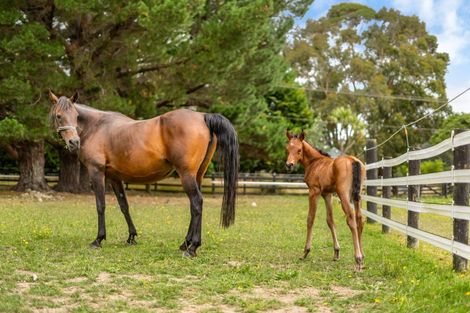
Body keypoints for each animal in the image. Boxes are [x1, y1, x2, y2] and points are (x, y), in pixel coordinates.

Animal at [48, 90, 239, 256]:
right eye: (59, 116)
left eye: (76, 116)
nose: (74, 142)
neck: (97, 126)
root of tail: (202, 116)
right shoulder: (115, 178)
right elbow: (124, 206)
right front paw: (131, 237)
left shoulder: (97, 173)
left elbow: (100, 206)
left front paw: (98, 240)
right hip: (197, 175)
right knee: (194, 206)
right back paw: (185, 244)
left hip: (186, 175)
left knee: (197, 202)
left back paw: (192, 248)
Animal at [284, 130, 366, 270]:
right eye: (288, 149)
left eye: (299, 150)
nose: (289, 165)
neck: (315, 162)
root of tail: (353, 160)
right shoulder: (327, 195)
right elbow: (330, 220)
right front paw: (336, 252)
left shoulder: (314, 192)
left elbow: (310, 219)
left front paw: (305, 252)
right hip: (357, 195)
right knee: (359, 218)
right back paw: (362, 256)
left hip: (344, 195)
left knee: (351, 219)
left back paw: (358, 258)